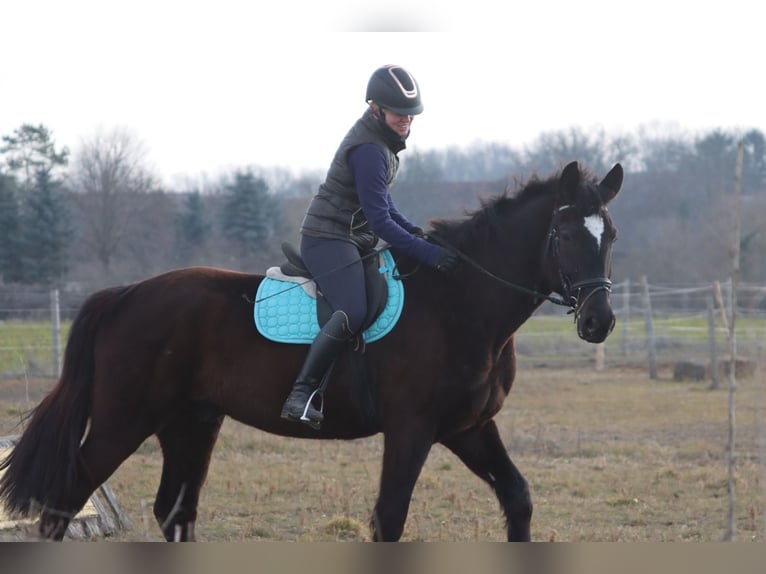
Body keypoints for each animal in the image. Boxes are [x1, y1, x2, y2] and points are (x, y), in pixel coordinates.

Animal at [1, 161, 624, 540]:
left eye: (610, 235)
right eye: (567, 234)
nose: (599, 321)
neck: (459, 301)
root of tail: (126, 294)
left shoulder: (467, 427)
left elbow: (517, 499)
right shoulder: (412, 429)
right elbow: (389, 518)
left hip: (191, 422)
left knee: (175, 511)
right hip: (124, 420)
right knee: (65, 501)